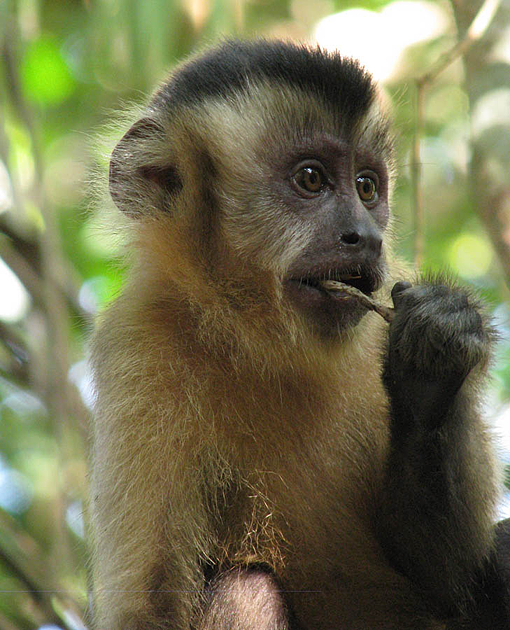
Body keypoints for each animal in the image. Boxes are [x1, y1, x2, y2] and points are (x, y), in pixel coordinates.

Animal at [88, 40, 510, 630]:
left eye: (366, 187)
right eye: (311, 179)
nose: (364, 236)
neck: (256, 338)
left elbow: (447, 581)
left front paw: (433, 365)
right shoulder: (139, 342)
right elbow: (150, 607)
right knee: (248, 588)